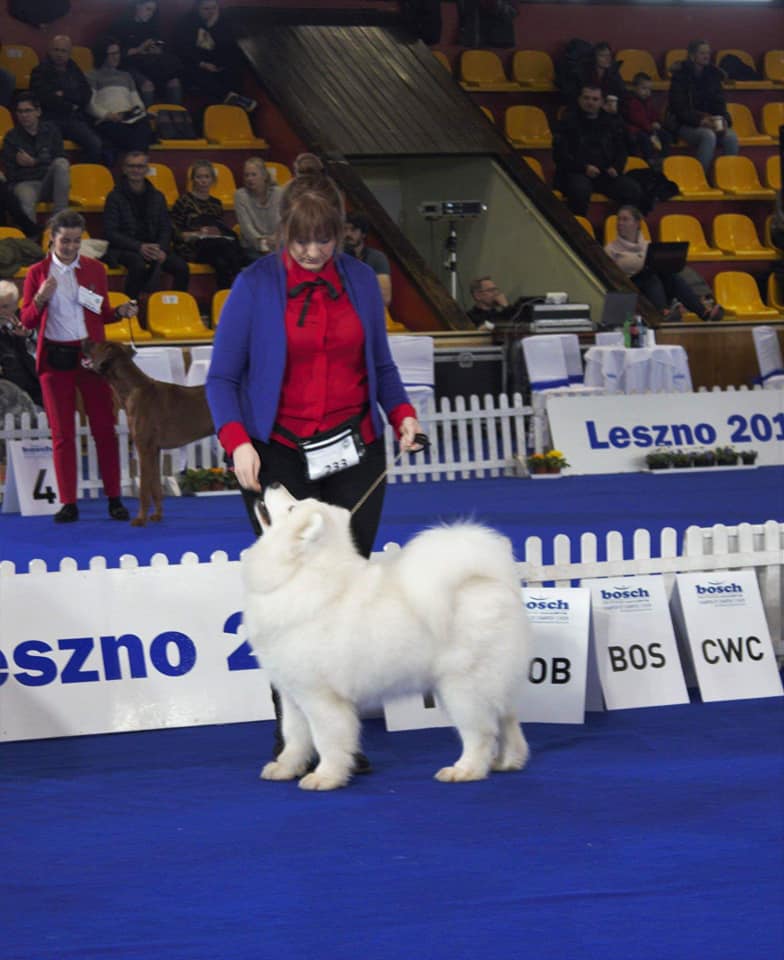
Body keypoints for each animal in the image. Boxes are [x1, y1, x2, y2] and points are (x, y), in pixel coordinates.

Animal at [87, 342, 214, 528]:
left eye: (94, 344)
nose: (82, 342)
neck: (132, 388)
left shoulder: (144, 448)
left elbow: (144, 490)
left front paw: (140, 518)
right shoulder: (154, 450)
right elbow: (155, 487)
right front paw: (157, 515)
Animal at [242, 484, 528, 792]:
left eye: (292, 507)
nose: (274, 484)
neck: (298, 576)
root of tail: (491, 582)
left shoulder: (320, 696)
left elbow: (327, 740)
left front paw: (326, 777)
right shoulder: (292, 694)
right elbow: (294, 736)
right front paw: (286, 768)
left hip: (462, 687)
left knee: (481, 732)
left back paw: (465, 770)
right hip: (491, 680)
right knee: (507, 718)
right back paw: (508, 761)